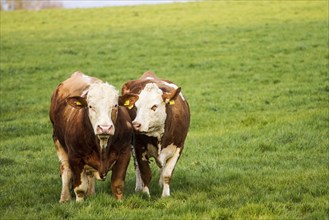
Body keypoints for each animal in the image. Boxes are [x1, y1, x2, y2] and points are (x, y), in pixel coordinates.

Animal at [49, 71, 131, 202]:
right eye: (91, 106)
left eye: (115, 105)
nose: (104, 128)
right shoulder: (75, 157)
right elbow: (80, 187)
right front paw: (79, 203)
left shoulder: (125, 153)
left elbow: (117, 185)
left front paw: (120, 201)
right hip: (57, 139)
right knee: (65, 169)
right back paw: (65, 198)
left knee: (89, 173)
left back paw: (91, 193)